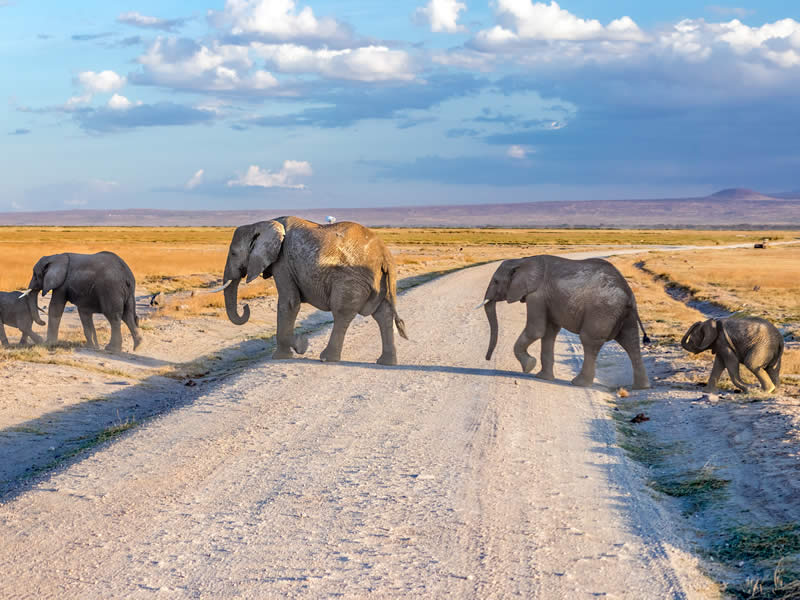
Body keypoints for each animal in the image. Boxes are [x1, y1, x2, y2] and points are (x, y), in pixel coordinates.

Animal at [220, 216, 407, 365]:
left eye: (234, 254)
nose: (245, 307)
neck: (263, 223)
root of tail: (384, 255)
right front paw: (293, 349)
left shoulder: (283, 262)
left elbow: (289, 303)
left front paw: (297, 347)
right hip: (381, 280)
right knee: (383, 314)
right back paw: (386, 362)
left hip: (350, 281)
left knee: (342, 313)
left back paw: (327, 358)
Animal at [482, 255, 651, 389]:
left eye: (496, 281)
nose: (487, 359)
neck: (523, 260)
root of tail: (628, 293)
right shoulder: (547, 298)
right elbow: (549, 332)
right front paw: (542, 377)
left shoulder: (537, 295)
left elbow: (536, 330)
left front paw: (529, 366)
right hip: (622, 314)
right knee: (631, 342)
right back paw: (641, 387)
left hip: (603, 310)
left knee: (590, 341)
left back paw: (579, 383)